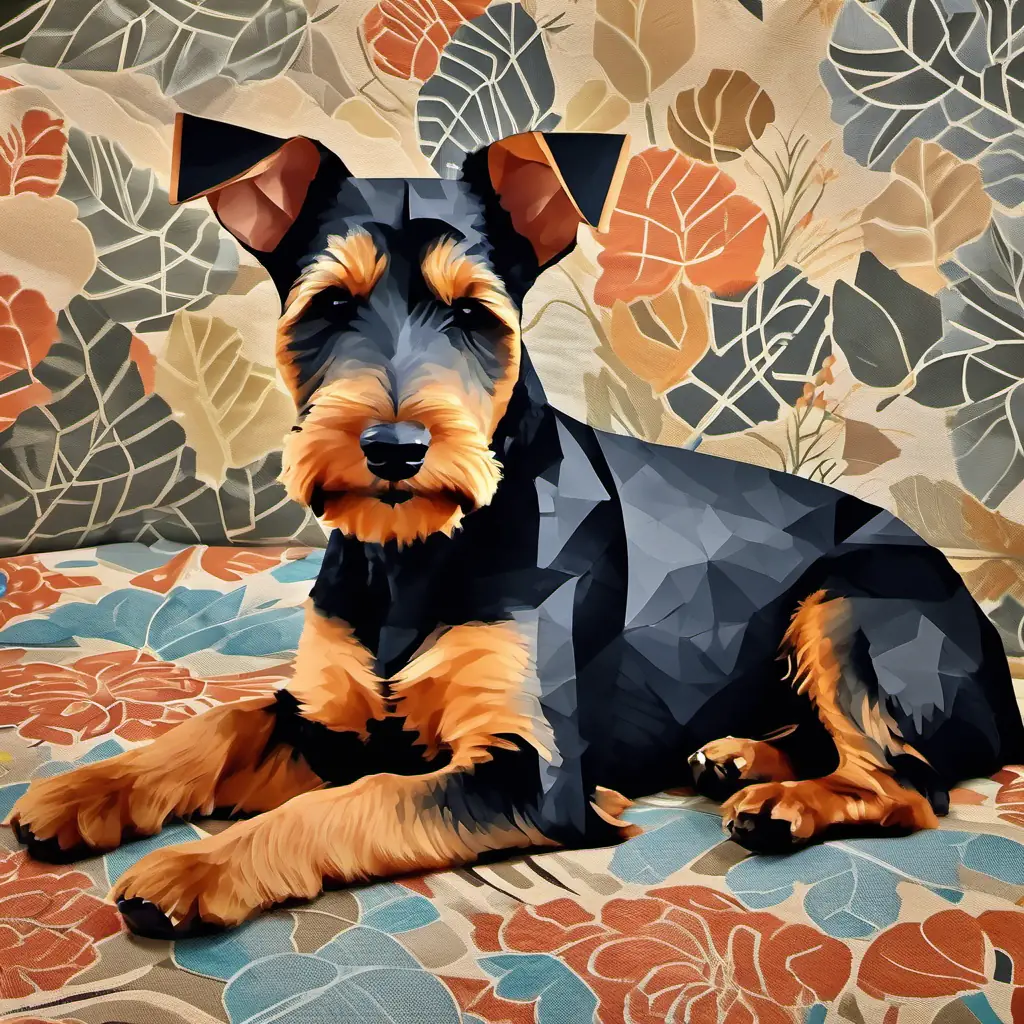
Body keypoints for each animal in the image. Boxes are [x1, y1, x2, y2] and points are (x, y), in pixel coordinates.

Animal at [9, 112, 1024, 937]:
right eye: (330, 305)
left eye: (474, 315)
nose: (393, 450)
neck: (413, 553)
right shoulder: (327, 716)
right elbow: (218, 727)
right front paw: (82, 790)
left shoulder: (528, 774)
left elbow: (355, 801)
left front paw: (195, 866)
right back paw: (739, 757)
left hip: (852, 607)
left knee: (908, 782)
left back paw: (786, 804)